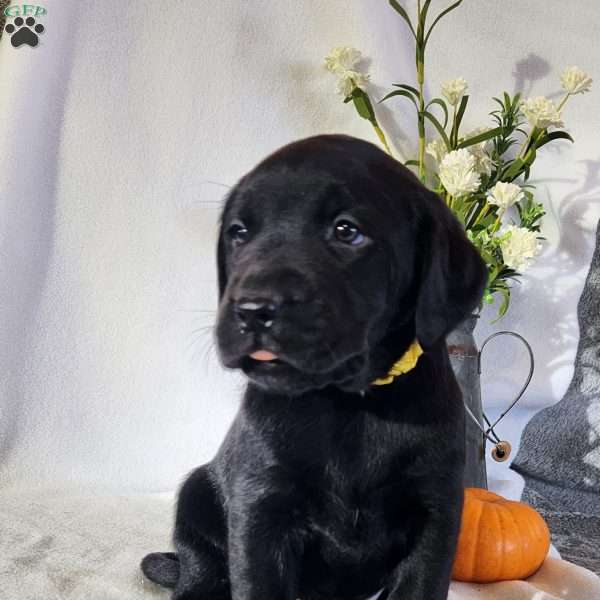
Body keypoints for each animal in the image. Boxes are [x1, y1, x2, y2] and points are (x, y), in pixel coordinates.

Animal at [142, 135, 488, 600]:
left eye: (347, 231)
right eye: (239, 233)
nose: (253, 309)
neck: (350, 403)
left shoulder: (435, 514)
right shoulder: (260, 509)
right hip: (196, 499)